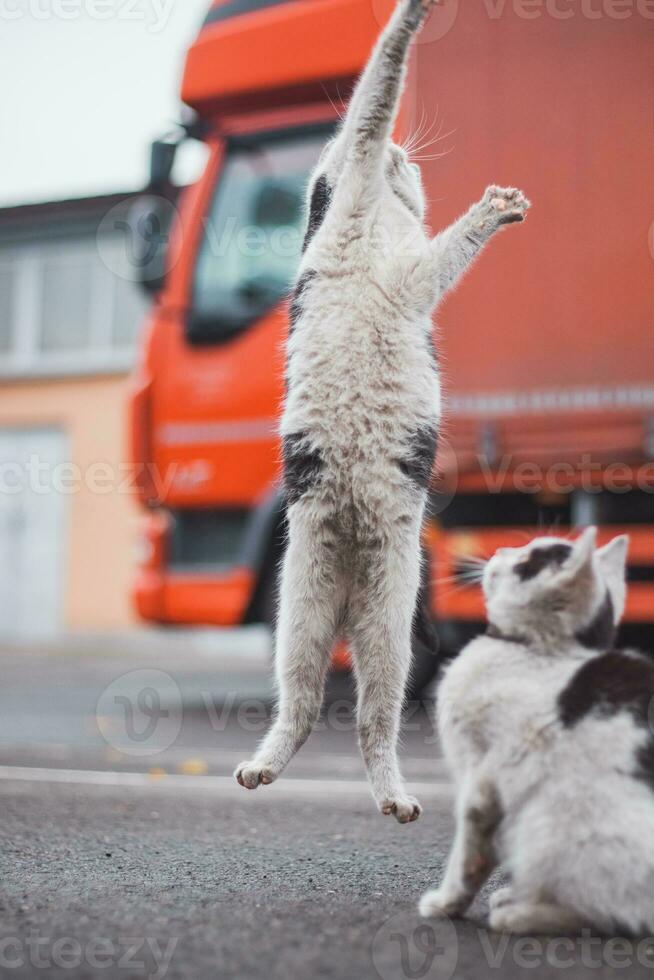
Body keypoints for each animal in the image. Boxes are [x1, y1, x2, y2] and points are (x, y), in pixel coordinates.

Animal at [420, 524, 654, 936]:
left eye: (525, 561)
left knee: (614, 913)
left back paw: (522, 914)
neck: (535, 650)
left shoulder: (480, 778)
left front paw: (447, 904)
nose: (500, 548)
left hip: (554, 820)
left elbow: (469, 854)